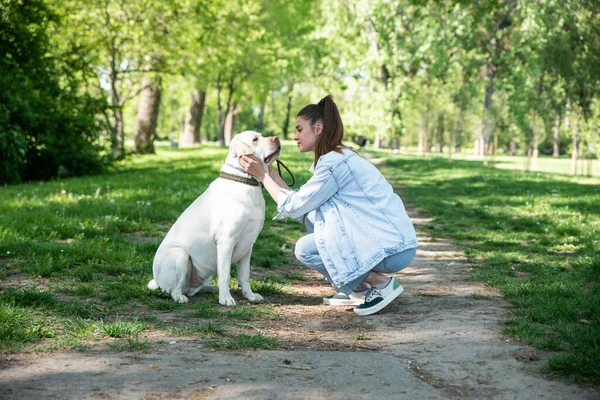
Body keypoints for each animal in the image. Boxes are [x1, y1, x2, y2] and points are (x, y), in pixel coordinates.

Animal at [149, 130, 282, 304]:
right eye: (255, 139)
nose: (277, 138)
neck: (245, 182)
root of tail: (156, 280)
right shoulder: (227, 240)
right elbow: (225, 275)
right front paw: (226, 299)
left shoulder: (248, 245)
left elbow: (244, 275)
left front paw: (250, 295)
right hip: (180, 255)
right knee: (174, 289)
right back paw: (181, 297)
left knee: (194, 289)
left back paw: (212, 289)